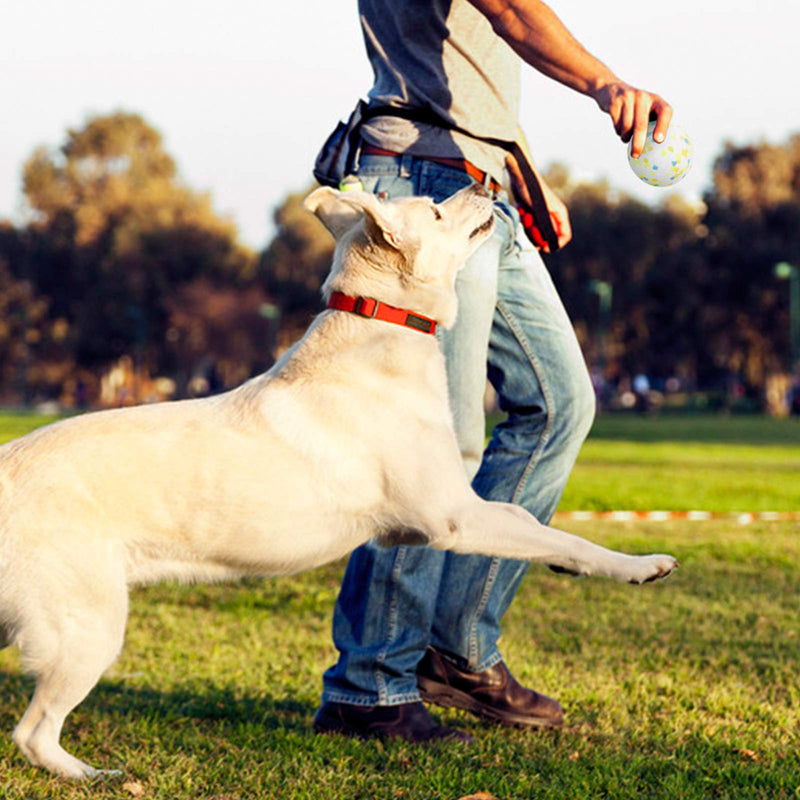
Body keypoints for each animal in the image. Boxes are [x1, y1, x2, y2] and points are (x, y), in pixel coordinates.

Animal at [0, 184, 676, 780]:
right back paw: (92, 775)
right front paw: (640, 566)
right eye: (435, 208)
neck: (385, 328)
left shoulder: (455, 510)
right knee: (33, 734)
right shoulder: (453, 518)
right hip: (88, 627)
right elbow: (564, 538)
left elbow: (535, 525)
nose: (489, 185)